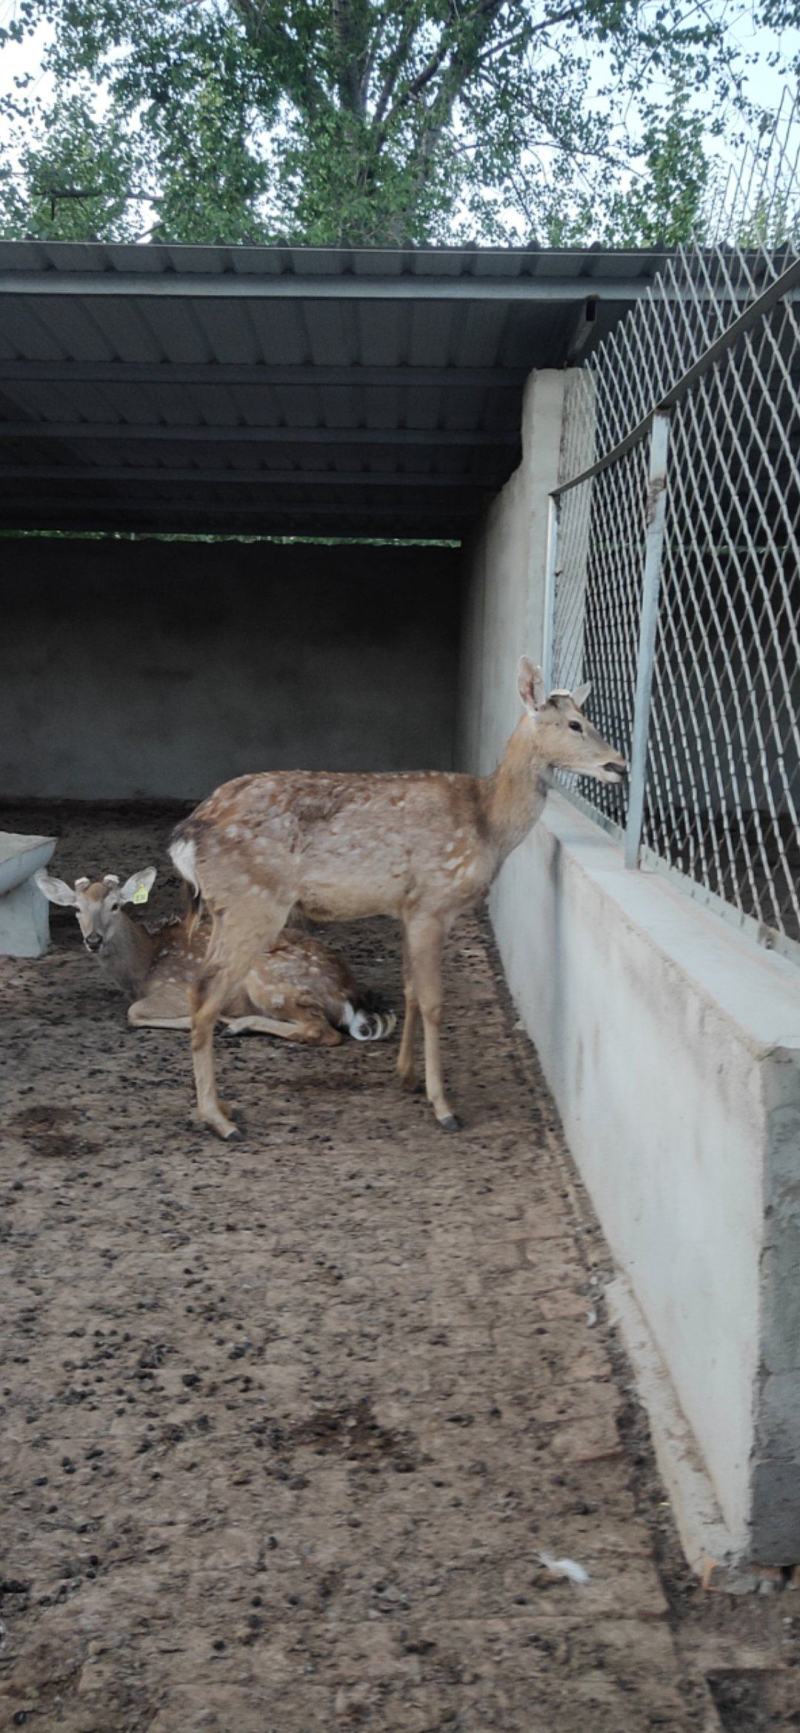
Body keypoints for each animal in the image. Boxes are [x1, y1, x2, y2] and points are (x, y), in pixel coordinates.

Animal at [34, 866, 396, 1046]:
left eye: (115, 905)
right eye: (76, 909)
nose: (93, 940)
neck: (142, 967)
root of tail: (348, 993)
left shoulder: (175, 988)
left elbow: (133, 1012)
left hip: (270, 980)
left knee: (321, 1031)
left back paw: (234, 1024)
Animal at [166, 659, 626, 1141]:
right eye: (575, 724)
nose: (620, 765)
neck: (489, 826)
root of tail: (187, 833)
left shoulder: (407, 907)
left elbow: (409, 990)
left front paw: (405, 1075)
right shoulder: (434, 902)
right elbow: (434, 1001)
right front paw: (443, 1106)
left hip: (226, 908)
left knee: (203, 990)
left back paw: (224, 1105)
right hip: (253, 903)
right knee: (206, 993)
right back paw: (219, 1119)